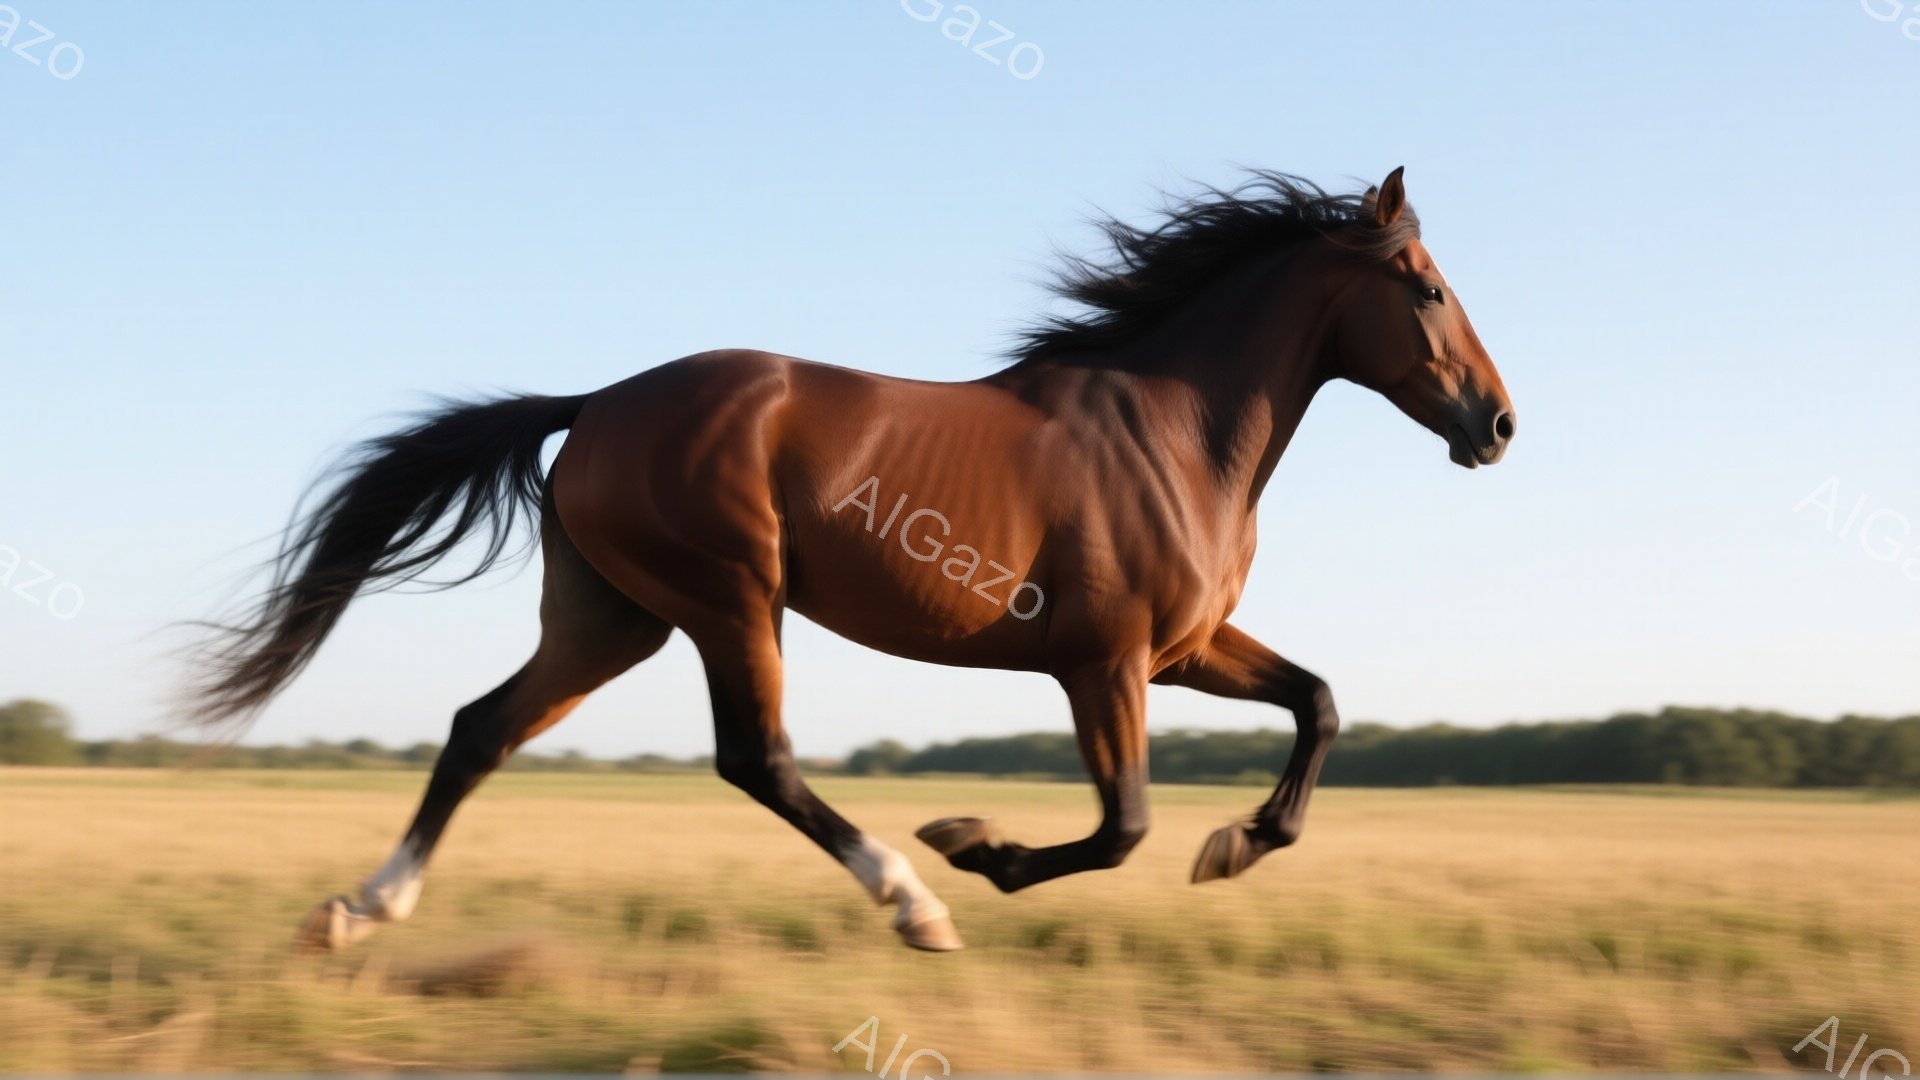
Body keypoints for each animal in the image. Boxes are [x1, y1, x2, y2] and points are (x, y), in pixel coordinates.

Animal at [189, 167, 1514, 953]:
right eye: (1428, 289)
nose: (1498, 424)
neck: (1171, 430)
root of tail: (596, 404)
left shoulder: (1183, 649)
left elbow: (1318, 701)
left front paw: (1234, 844)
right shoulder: (1106, 662)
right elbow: (1123, 825)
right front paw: (978, 847)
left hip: (615, 617)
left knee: (481, 729)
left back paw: (358, 911)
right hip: (729, 600)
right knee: (756, 759)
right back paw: (912, 900)